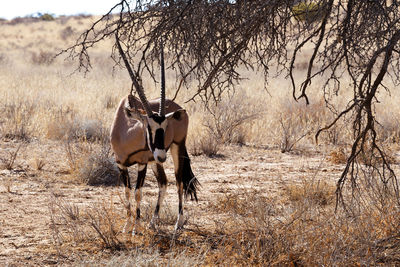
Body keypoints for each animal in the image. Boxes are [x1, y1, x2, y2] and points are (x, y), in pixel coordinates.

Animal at [110, 35, 199, 234]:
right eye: (148, 127)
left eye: (165, 127)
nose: (161, 155)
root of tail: (178, 107)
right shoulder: (121, 164)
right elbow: (127, 192)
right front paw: (127, 226)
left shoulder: (142, 163)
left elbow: (137, 193)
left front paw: (135, 227)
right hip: (155, 161)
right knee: (163, 182)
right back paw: (152, 222)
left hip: (176, 148)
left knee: (179, 181)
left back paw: (178, 223)